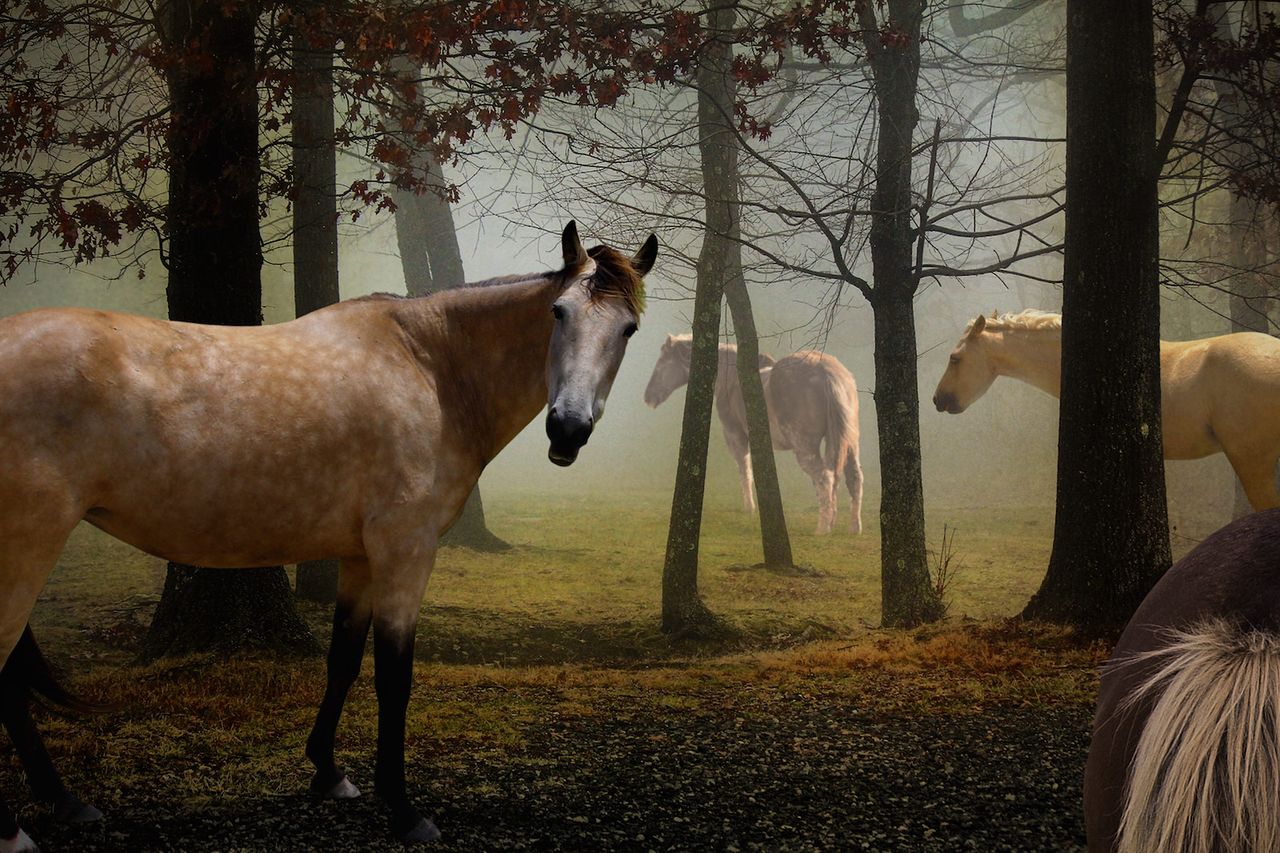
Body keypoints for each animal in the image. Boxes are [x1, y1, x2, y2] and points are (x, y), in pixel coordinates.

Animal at [0, 221, 657, 850]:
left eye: (627, 329)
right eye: (558, 313)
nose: (568, 429)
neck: (431, 367)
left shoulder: (359, 557)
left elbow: (342, 659)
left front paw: (328, 771)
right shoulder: (405, 552)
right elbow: (394, 676)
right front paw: (403, 809)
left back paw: (66, 801)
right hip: (27, 546)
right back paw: (16, 830)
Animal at [643, 335, 863, 535]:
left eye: (662, 363)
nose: (648, 396)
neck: (732, 379)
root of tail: (826, 372)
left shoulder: (735, 436)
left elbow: (744, 471)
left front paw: (750, 510)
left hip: (805, 447)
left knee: (824, 478)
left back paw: (823, 528)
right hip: (849, 444)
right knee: (852, 478)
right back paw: (853, 527)